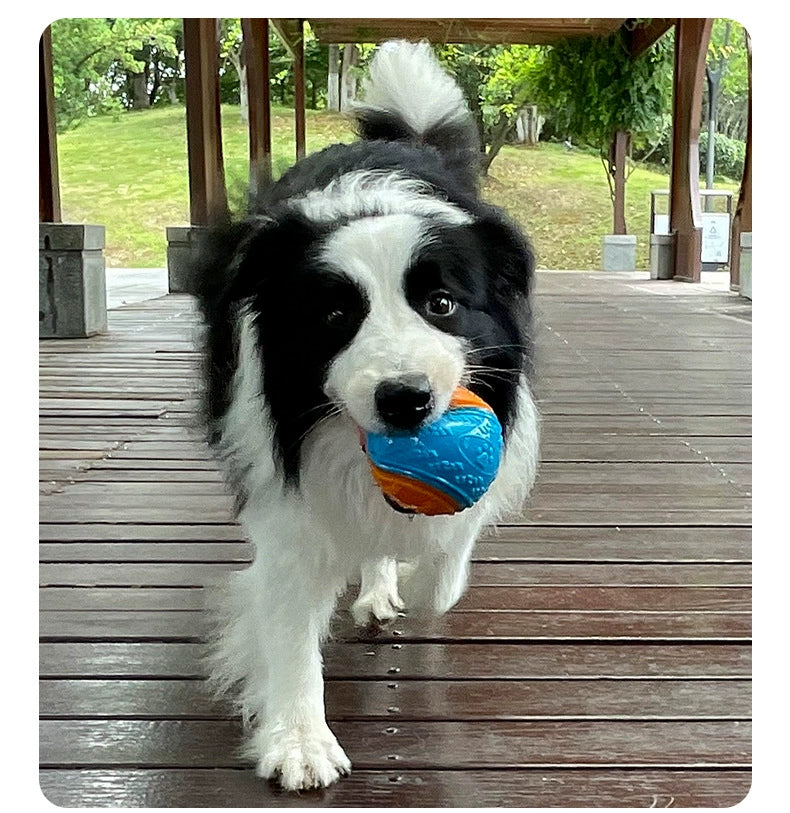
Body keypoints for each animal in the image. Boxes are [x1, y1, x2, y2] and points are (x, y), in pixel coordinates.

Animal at [192, 41, 540, 788]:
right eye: (334, 317)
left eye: (442, 304)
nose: (404, 399)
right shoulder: (282, 493)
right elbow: (289, 620)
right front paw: (299, 740)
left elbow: (446, 566)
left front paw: (413, 572)